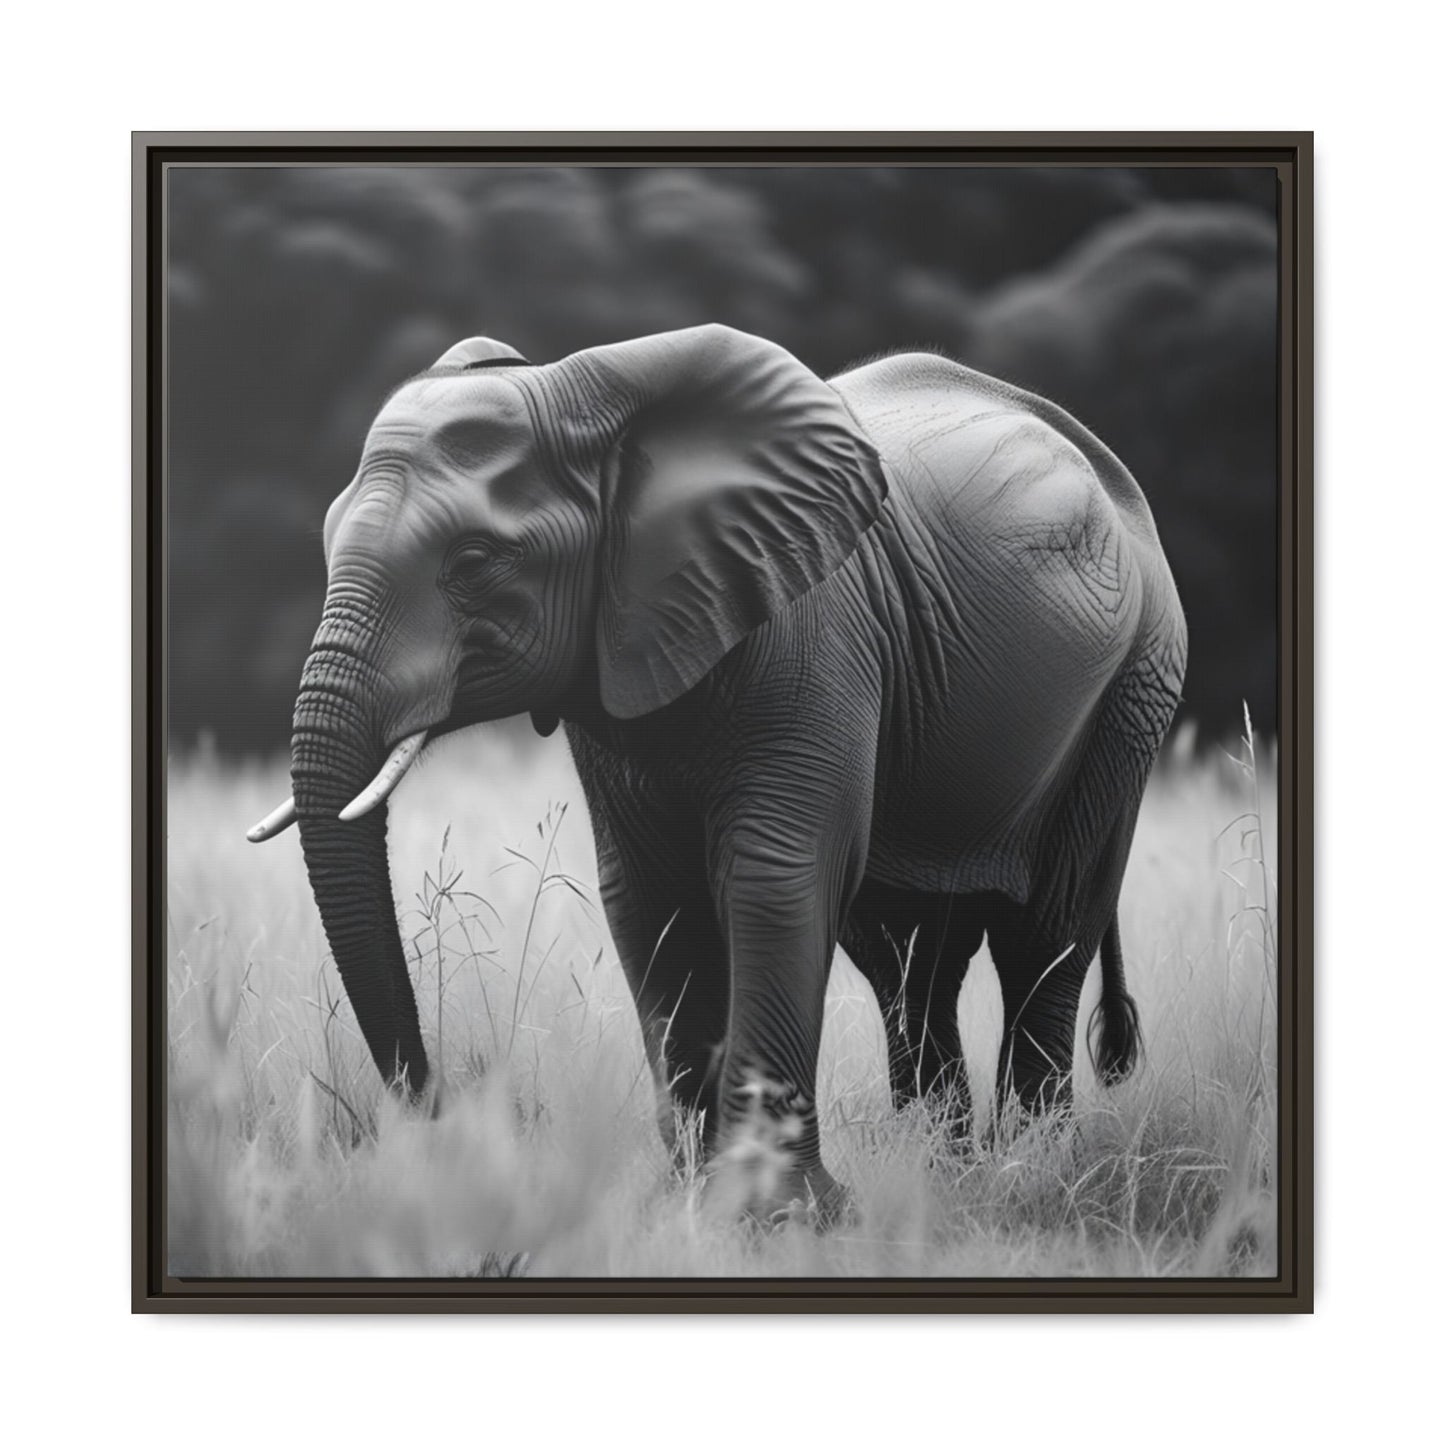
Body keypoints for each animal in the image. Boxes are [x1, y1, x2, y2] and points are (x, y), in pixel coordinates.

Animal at [249, 324, 1187, 1222]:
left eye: (474, 561)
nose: (447, 1121)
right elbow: (646, 896)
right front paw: (690, 1202)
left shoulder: (812, 632)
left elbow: (774, 876)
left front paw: (777, 1217)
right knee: (907, 957)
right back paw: (942, 1171)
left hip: (1134, 688)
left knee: (1046, 931)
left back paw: (1030, 1171)